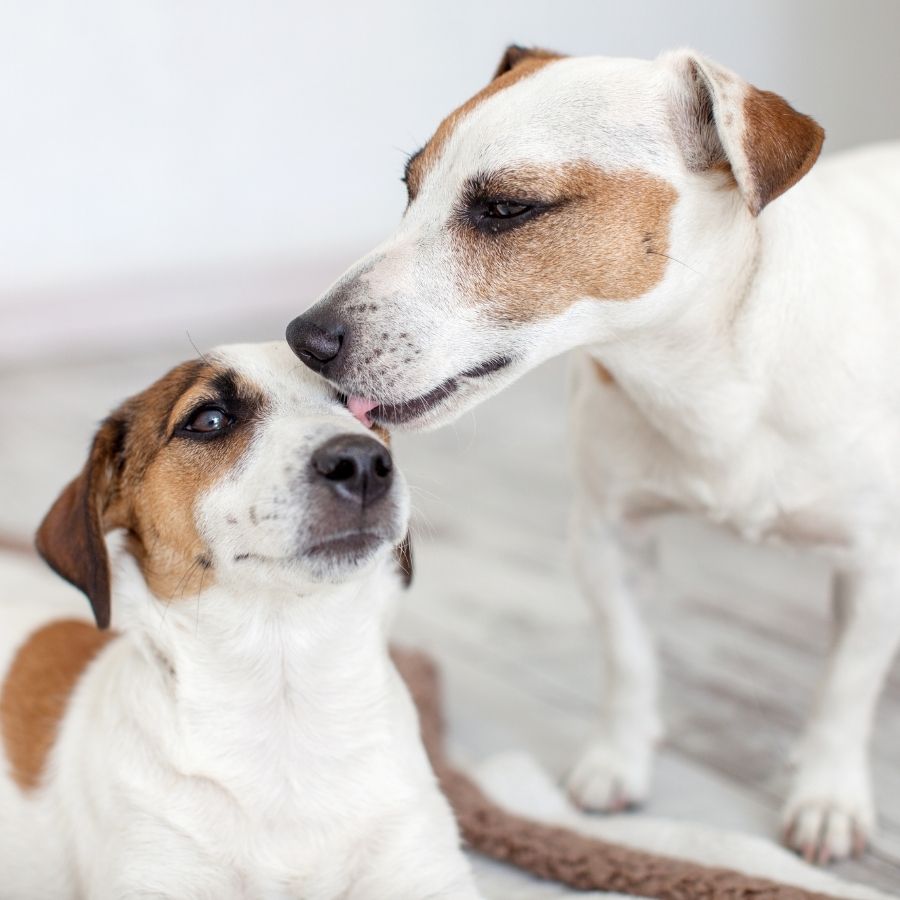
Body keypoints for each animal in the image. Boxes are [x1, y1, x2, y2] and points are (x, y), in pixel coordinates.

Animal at [284, 45, 900, 860]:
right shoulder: (608, 537)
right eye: (410, 190)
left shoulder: (876, 566)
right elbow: (630, 659)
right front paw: (618, 762)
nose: (303, 338)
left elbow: (843, 690)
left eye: (505, 209)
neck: (707, 374)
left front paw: (828, 794)